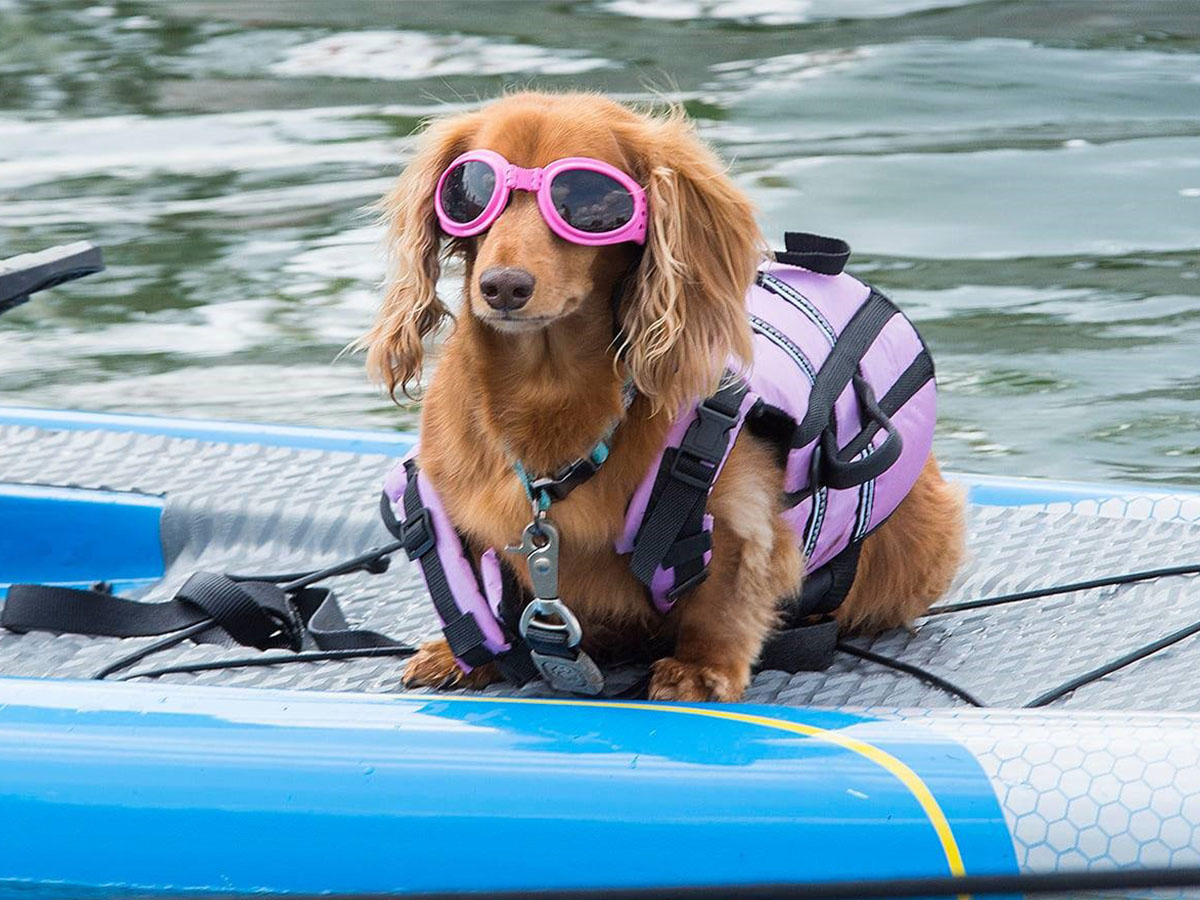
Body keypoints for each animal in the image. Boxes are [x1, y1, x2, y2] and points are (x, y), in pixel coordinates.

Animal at [360, 91, 960, 705]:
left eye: (590, 205)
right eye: (469, 194)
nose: (503, 286)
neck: (547, 394)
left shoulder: (741, 513)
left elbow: (725, 597)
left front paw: (700, 668)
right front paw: (464, 656)